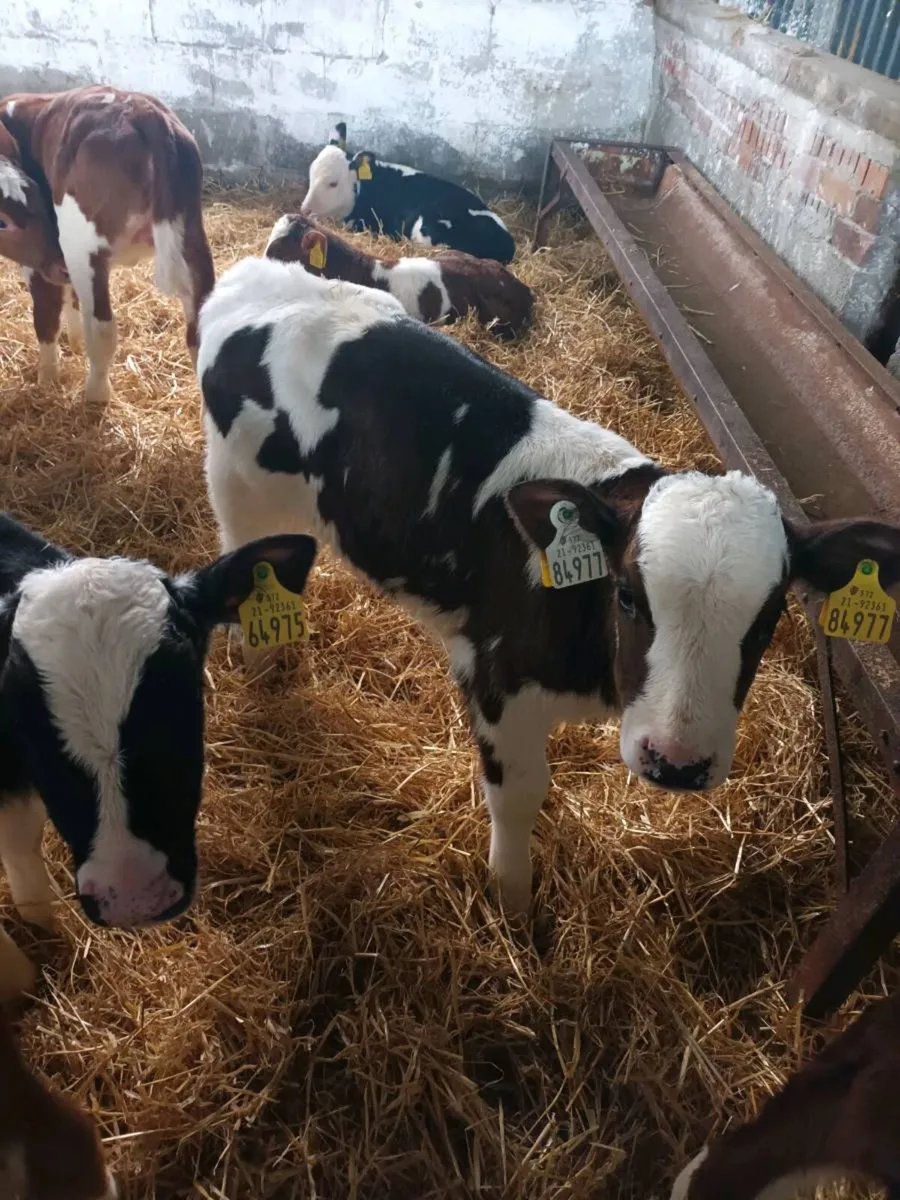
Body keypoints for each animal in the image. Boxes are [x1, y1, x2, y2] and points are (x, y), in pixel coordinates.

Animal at [0, 85, 216, 404]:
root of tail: (144, 111)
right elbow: (70, 299)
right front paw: (74, 343)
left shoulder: (45, 259)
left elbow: (46, 313)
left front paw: (47, 380)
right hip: (190, 234)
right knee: (200, 330)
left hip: (82, 242)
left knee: (102, 327)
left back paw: (95, 396)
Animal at [197, 254, 900, 913]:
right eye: (627, 595)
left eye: (768, 619)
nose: (677, 763)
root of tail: (255, 274)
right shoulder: (496, 680)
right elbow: (519, 796)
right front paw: (514, 903)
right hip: (235, 485)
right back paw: (260, 666)